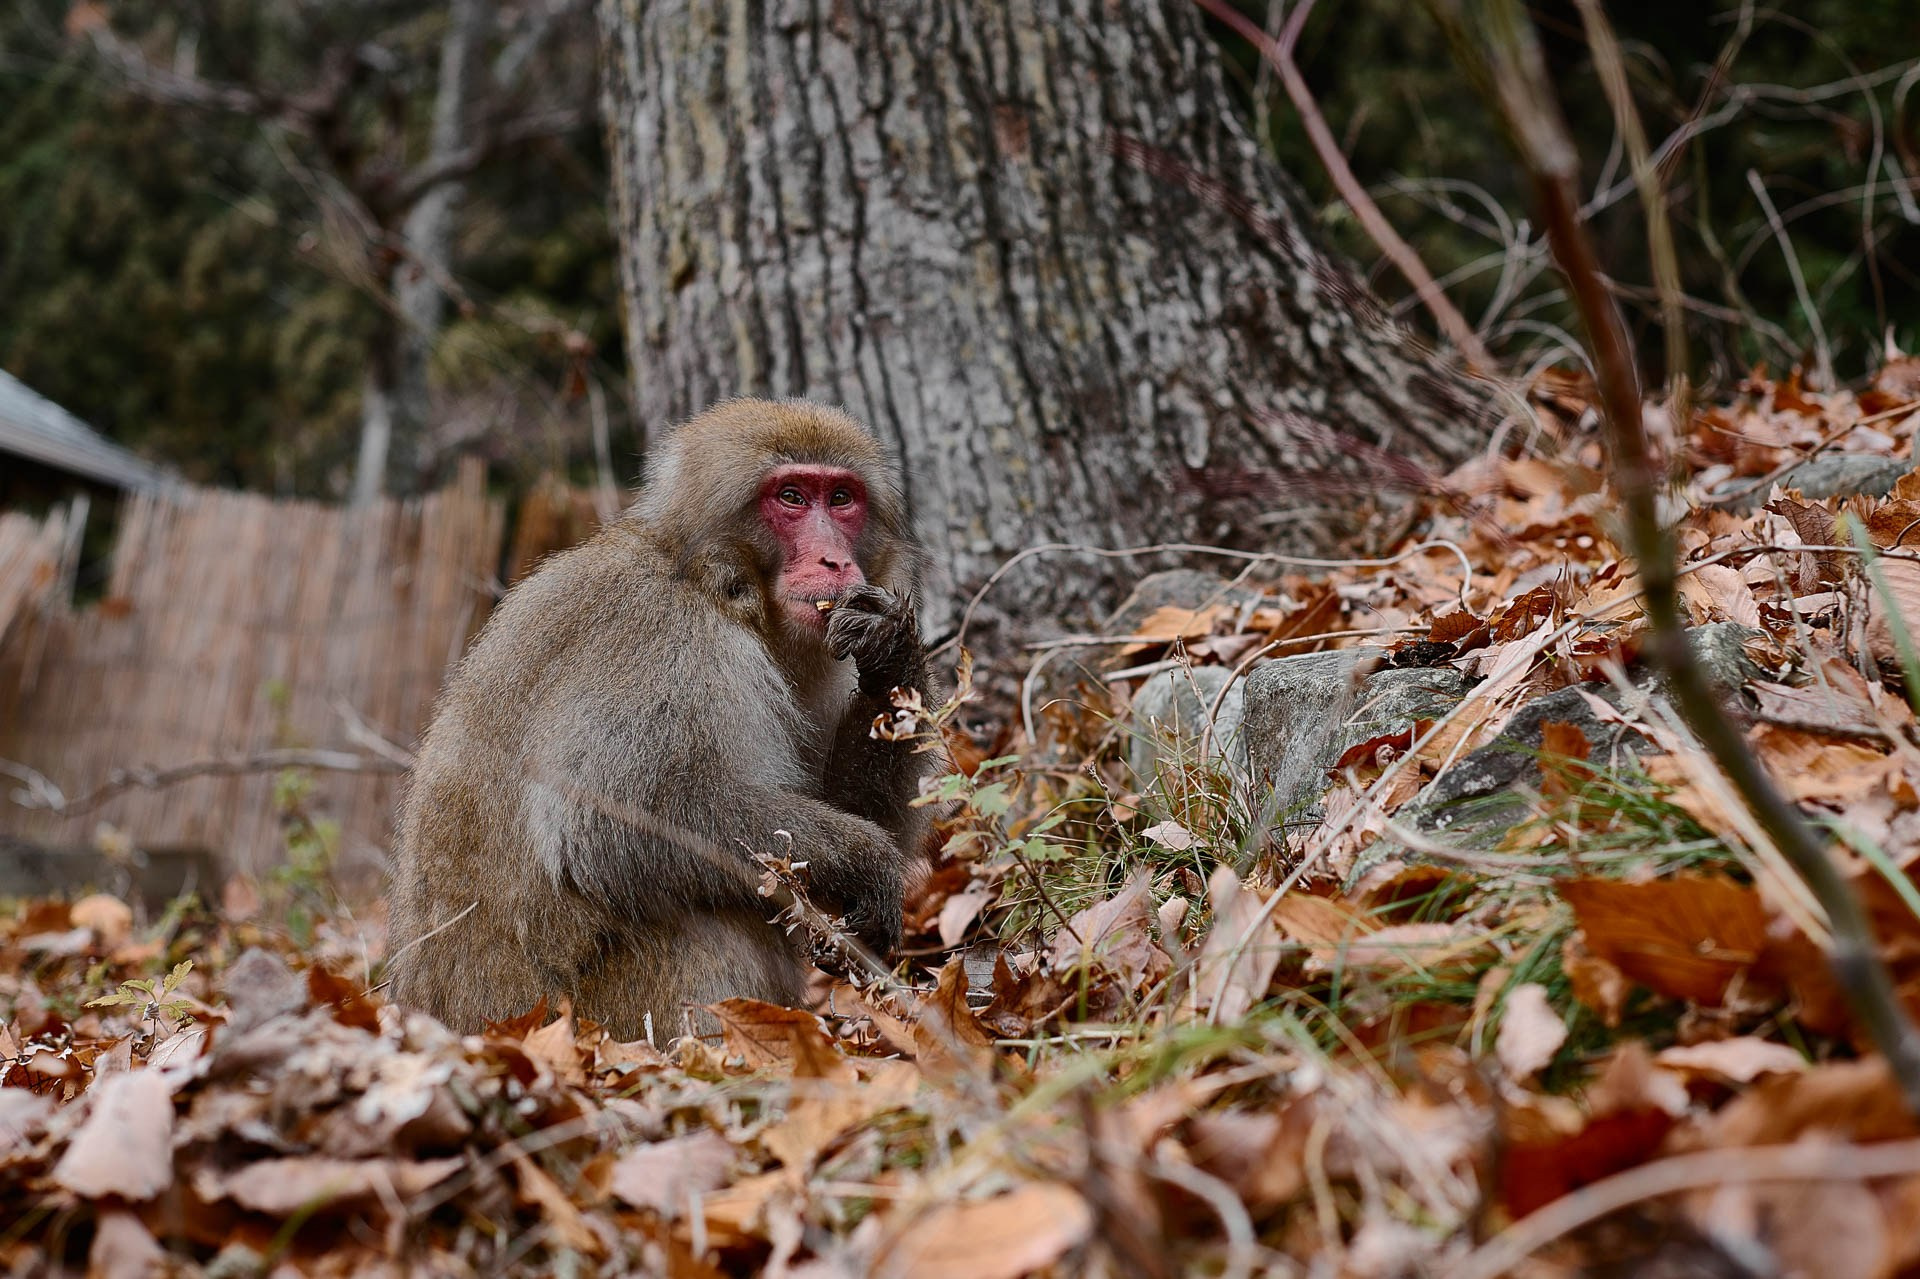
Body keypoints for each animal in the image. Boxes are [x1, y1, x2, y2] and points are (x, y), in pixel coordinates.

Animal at [385, 399, 935, 1042]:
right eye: (792, 497)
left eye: (841, 498)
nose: (835, 559)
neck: (716, 584)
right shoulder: (659, 635)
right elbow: (608, 819)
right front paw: (863, 860)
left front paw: (891, 651)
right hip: (581, 1015)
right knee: (709, 915)